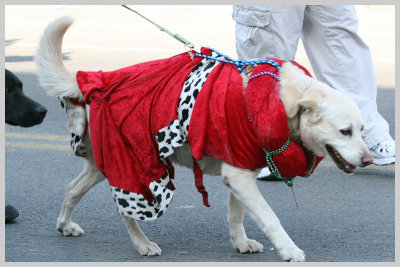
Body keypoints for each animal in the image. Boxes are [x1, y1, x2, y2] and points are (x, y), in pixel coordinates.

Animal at [34, 16, 372, 262]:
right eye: (345, 131)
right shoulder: (240, 176)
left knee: (72, 189)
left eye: (362, 130)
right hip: (133, 167)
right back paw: (143, 244)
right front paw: (289, 250)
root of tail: (101, 80)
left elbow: (236, 216)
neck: (280, 100)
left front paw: (241, 242)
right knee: (124, 210)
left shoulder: (240, 172)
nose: (369, 160)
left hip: (100, 165)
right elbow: (270, 217)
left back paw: (65, 225)